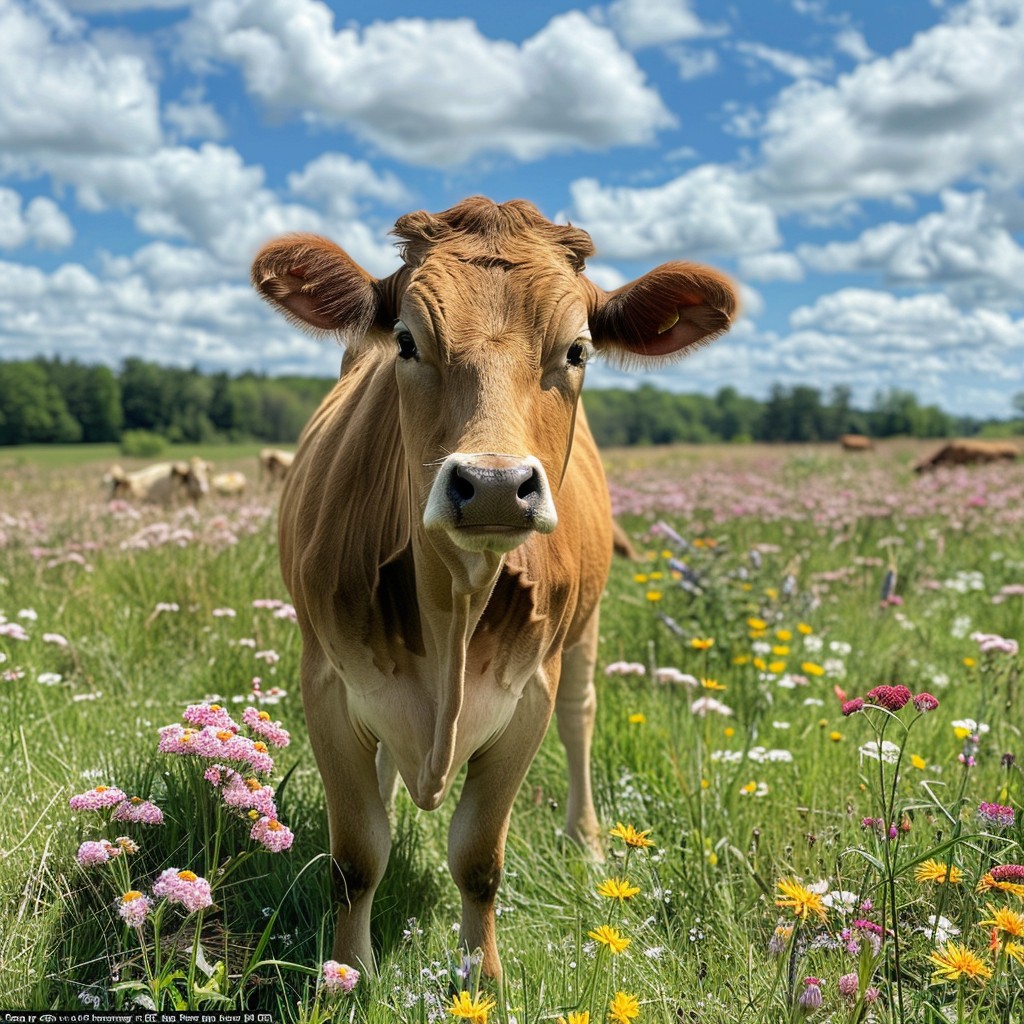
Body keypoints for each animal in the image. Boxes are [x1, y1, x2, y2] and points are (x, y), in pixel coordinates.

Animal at [251, 197, 738, 980]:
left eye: (577, 351)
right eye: (407, 341)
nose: (493, 486)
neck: (454, 598)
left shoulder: (528, 693)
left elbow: (478, 860)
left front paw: (481, 981)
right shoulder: (325, 681)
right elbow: (355, 858)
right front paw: (345, 979)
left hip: (585, 632)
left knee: (582, 717)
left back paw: (587, 842)